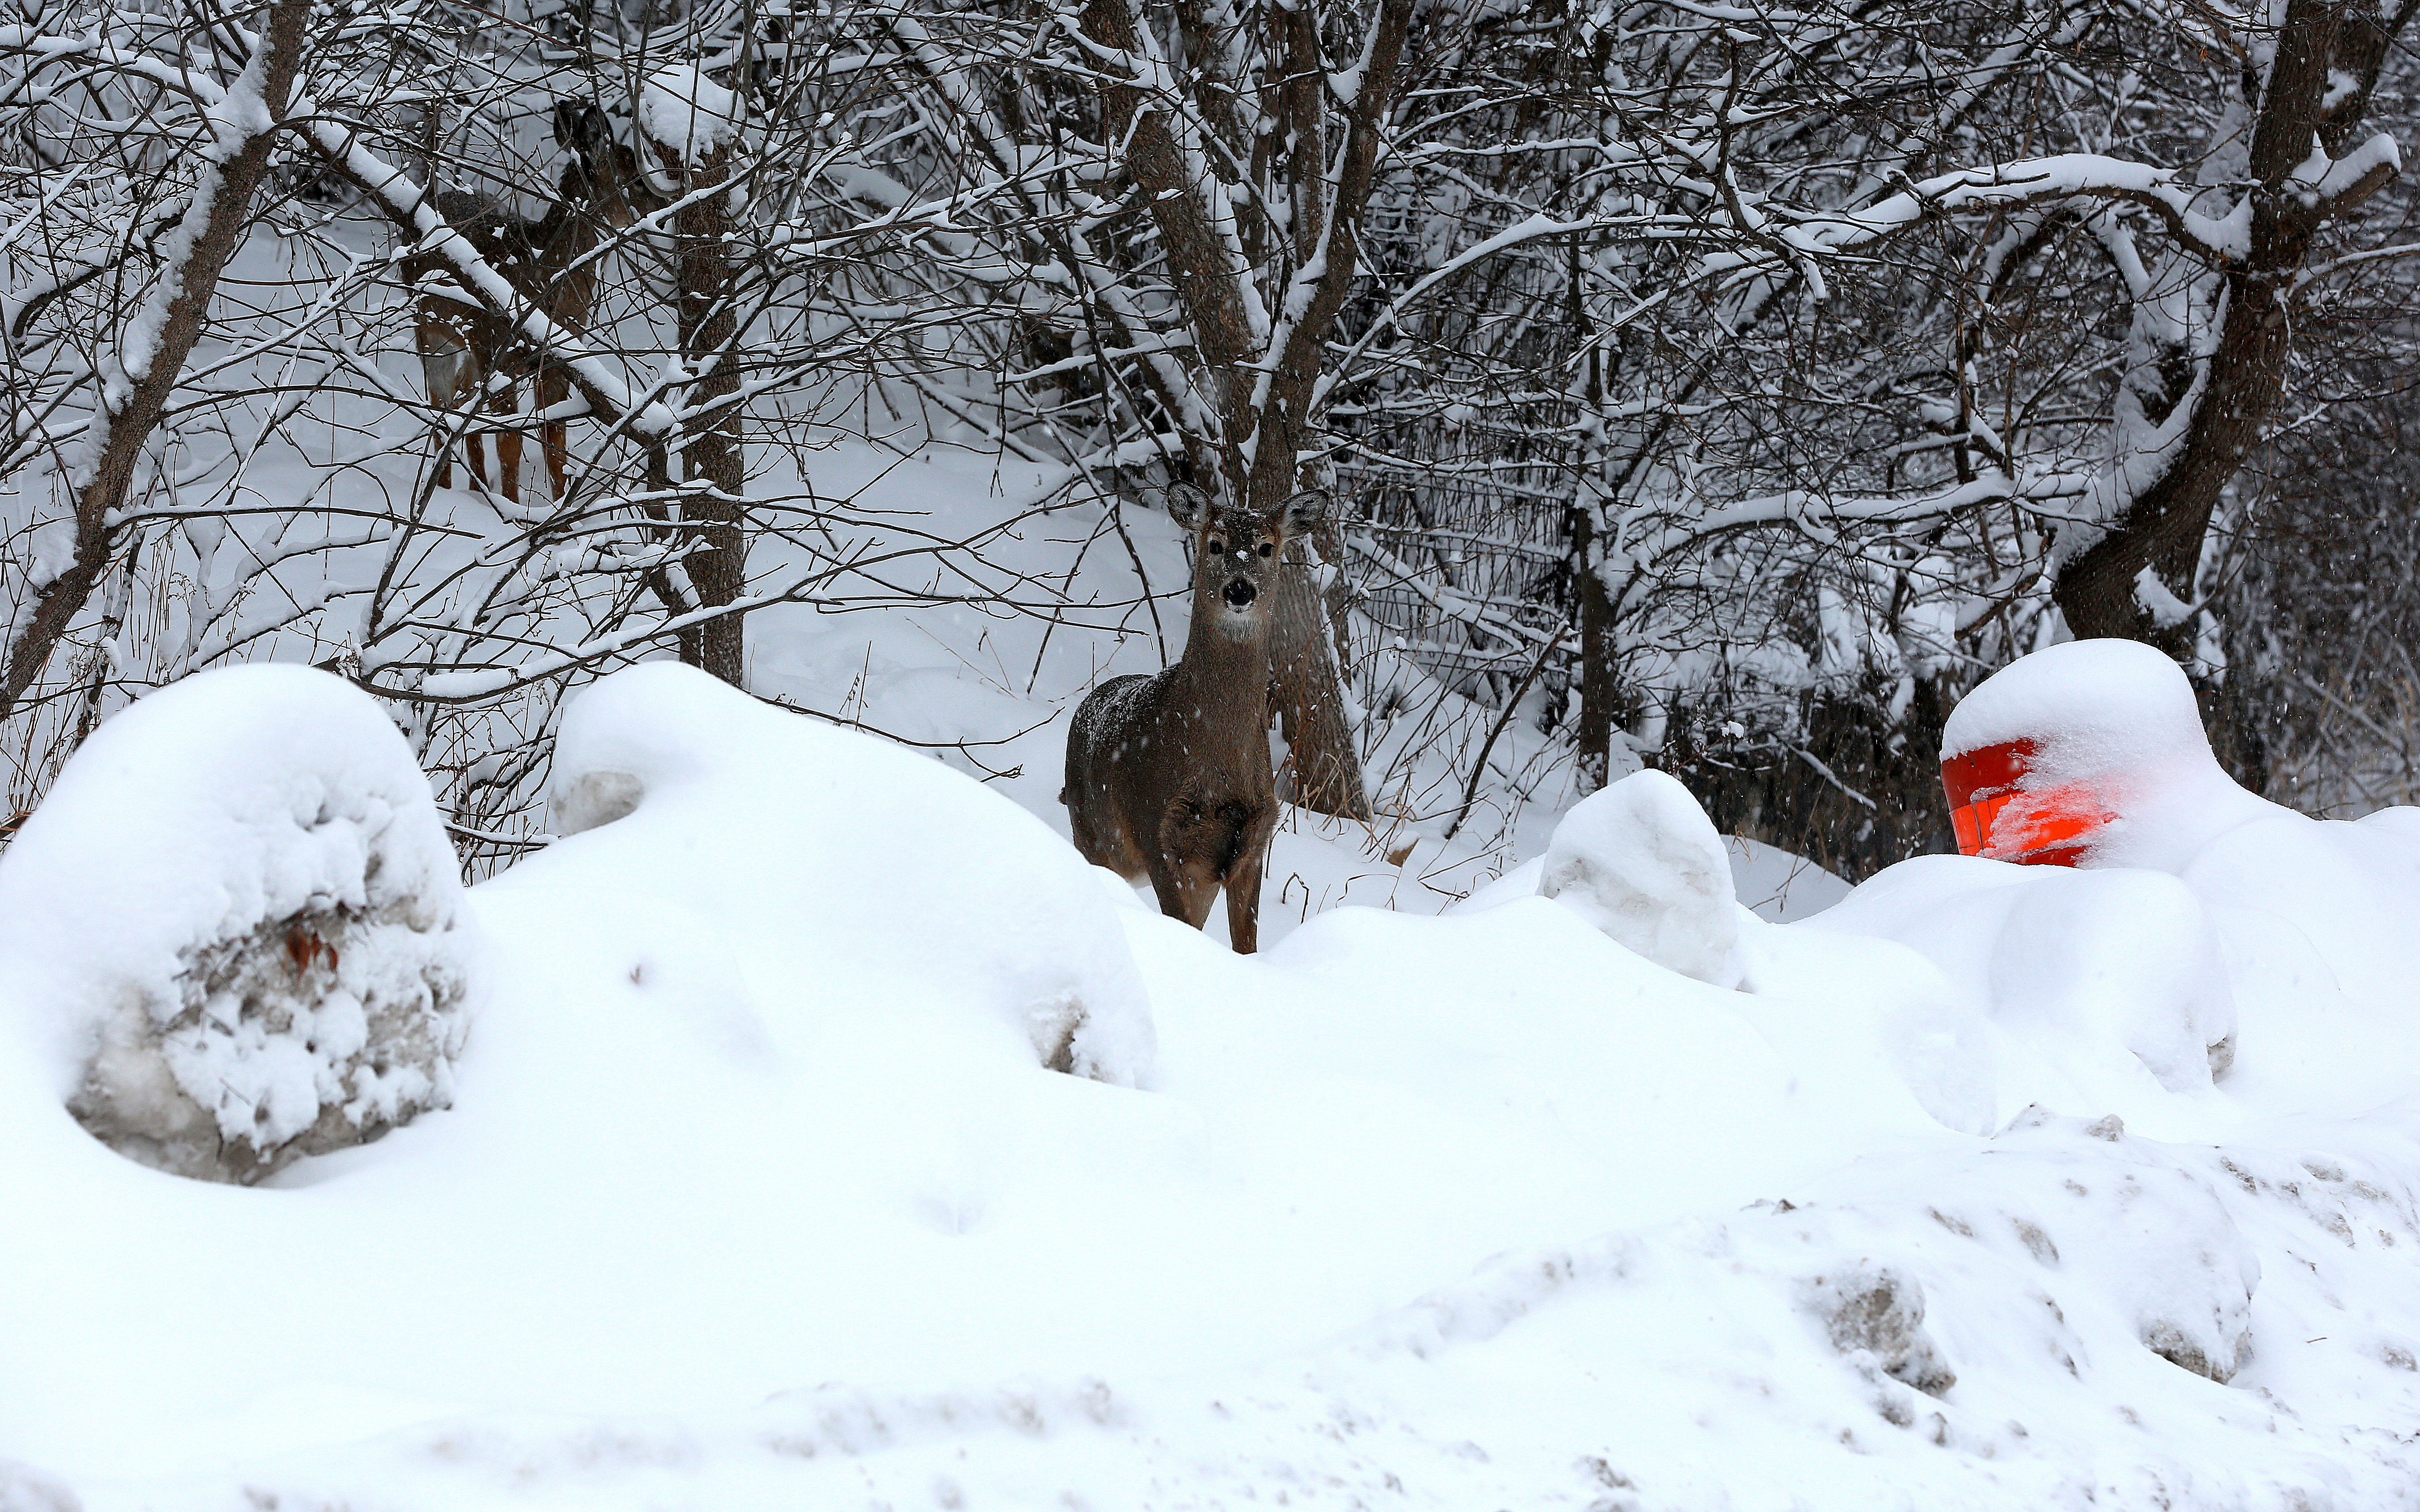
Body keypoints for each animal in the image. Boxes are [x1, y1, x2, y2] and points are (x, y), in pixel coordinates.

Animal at [404, 101, 649, 504]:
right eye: (637, 178)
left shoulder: (560, 359)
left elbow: (555, 441)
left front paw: (559, 510)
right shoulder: (501, 350)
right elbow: (510, 442)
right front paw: (513, 510)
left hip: (471, 344)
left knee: (464, 406)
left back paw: (478, 489)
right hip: (432, 328)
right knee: (441, 410)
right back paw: (446, 492)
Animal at [1062, 481, 1330, 954]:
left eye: (1266, 547)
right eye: (1215, 544)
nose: (1239, 590)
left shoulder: (1252, 843)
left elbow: (1246, 945)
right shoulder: (1156, 827)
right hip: (1090, 830)